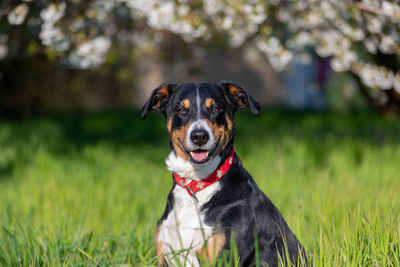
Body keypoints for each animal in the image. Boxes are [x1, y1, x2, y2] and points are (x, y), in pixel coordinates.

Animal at [142, 81, 308, 267]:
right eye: (181, 110)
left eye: (215, 109)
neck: (196, 184)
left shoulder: (221, 256)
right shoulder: (162, 254)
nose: (199, 136)